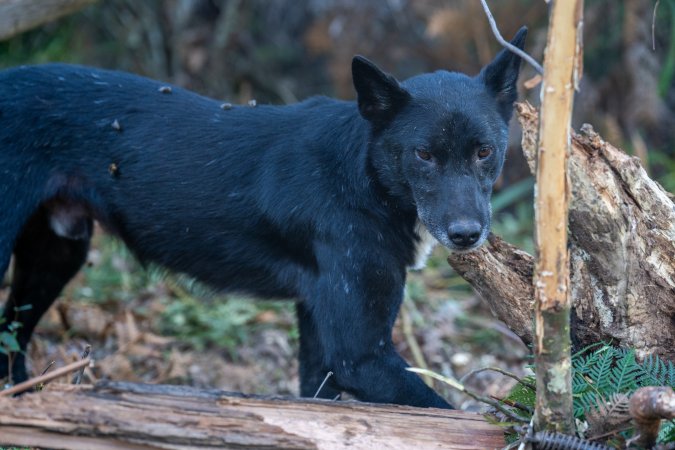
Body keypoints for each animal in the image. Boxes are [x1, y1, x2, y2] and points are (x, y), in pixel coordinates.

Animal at [0, 28, 528, 408]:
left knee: (11, 343)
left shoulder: (320, 333)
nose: (466, 235)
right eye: (423, 155)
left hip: (56, 255)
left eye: (484, 151)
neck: (362, 177)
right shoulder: (360, 355)